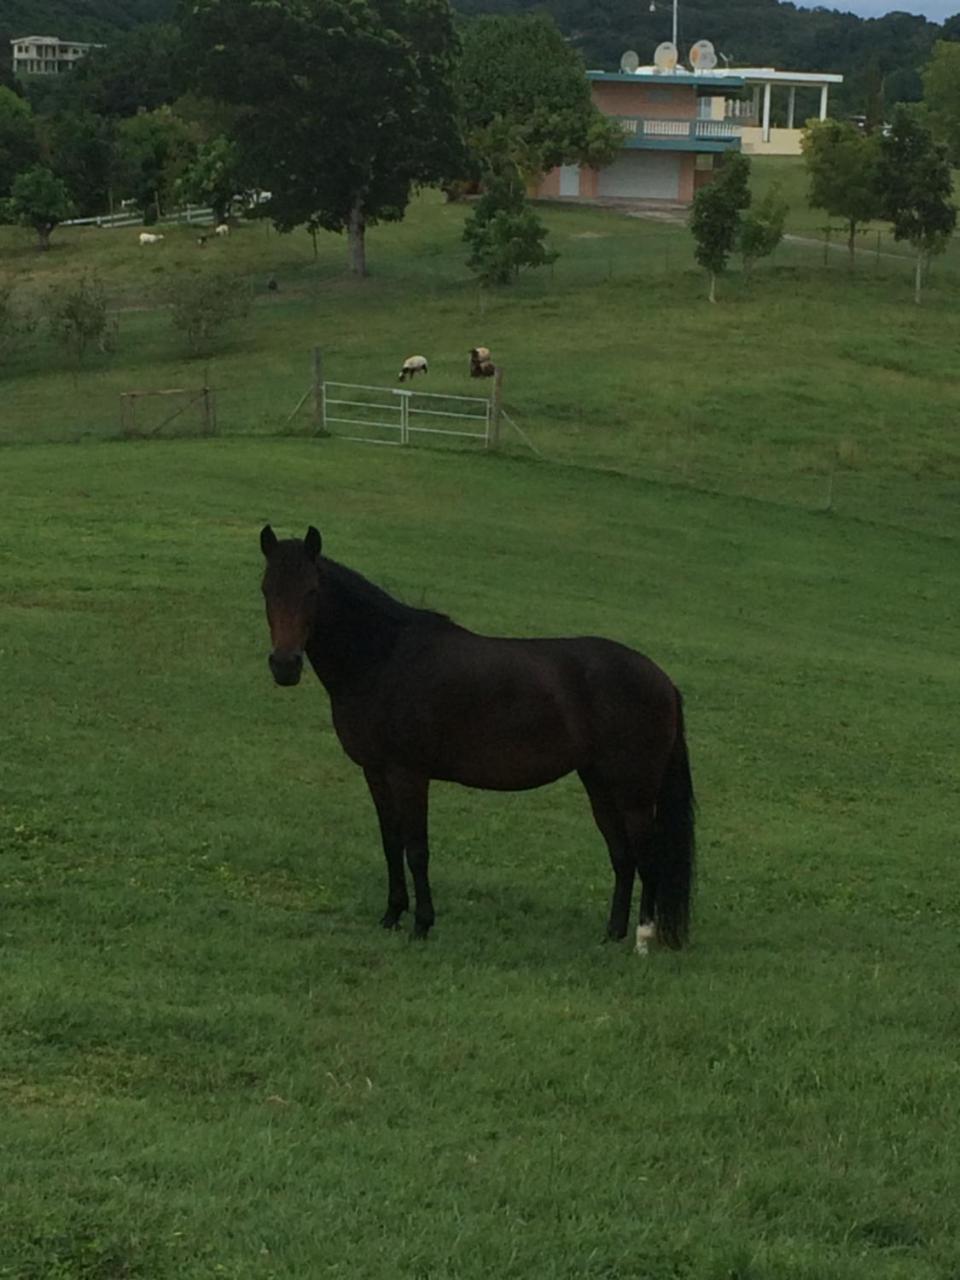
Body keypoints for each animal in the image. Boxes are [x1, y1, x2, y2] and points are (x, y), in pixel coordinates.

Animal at [261, 524, 701, 957]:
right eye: (267, 588)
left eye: (312, 590)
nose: (285, 666)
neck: (384, 659)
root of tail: (663, 681)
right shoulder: (375, 772)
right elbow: (391, 843)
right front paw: (391, 917)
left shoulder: (409, 774)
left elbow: (416, 849)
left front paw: (422, 925)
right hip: (599, 785)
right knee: (622, 857)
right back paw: (611, 935)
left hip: (635, 795)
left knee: (647, 858)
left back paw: (642, 940)